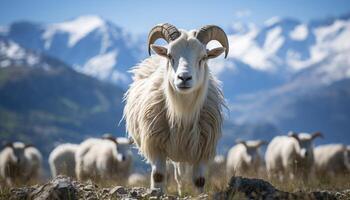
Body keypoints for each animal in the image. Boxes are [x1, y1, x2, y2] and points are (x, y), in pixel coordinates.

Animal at [124, 22, 228, 195]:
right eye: (170, 55)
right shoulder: (156, 146)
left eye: (203, 57)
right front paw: (157, 192)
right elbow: (158, 176)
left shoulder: (202, 150)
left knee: (180, 176)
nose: (184, 78)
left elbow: (199, 180)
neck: (182, 113)